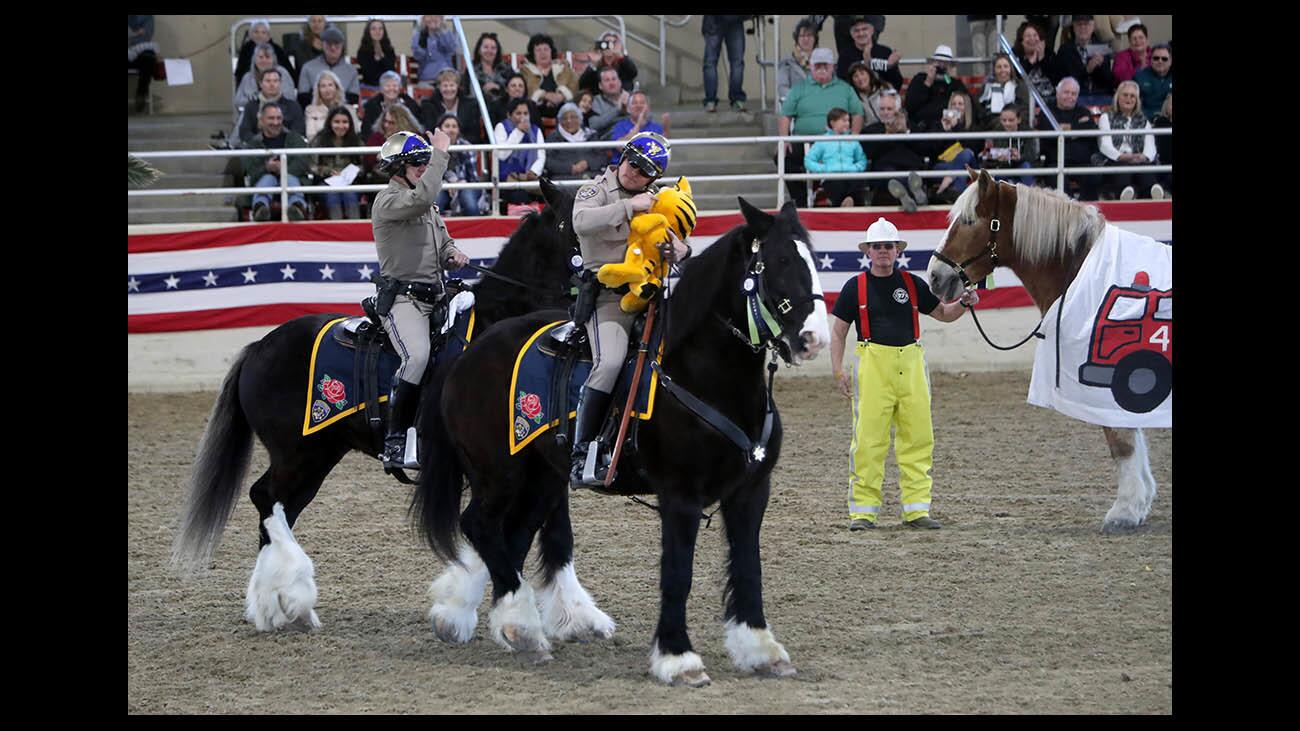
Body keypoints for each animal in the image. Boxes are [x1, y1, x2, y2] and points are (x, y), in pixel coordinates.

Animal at [171, 179, 579, 629]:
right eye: (576, 221)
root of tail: (260, 346)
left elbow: (549, 527)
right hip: (296, 454)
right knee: (266, 499)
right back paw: (286, 597)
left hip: (318, 456)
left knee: (278, 509)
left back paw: (276, 605)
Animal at [416, 197, 816, 681]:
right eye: (777, 262)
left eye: (811, 262)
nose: (812, 338)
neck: (701, 375)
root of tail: (469, 353)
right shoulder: (680, 496)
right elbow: (677, 573)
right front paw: (678, 657)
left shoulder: (751, 492)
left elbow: (748, 567)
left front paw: (760, 648)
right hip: (499, 474)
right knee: (479, 525)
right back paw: (519, 624)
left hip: (542, 480)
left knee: (509, 537)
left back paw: (504, 623)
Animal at [930, 166, 1164, 528]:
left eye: (968, 220)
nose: (934, 276)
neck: (1082, 273)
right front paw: (1139, 503)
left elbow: (1121, 439)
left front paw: (1125, 510)